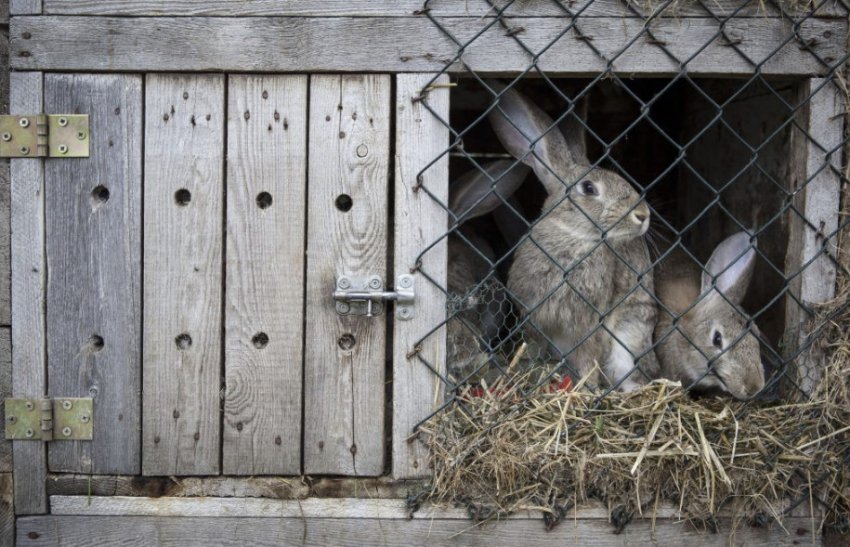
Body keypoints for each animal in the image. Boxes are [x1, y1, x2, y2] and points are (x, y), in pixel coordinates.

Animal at [486, 80, 660, 390]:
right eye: (589, 189)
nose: (643, 215)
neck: (573, 237)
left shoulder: (591, 324)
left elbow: (588, 355)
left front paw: (587, 387)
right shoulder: (534, 318)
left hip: (629, 340)